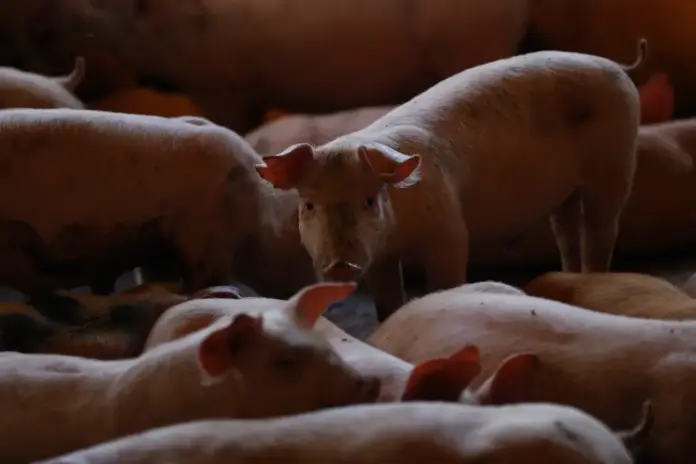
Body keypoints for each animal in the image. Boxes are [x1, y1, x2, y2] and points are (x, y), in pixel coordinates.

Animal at [255, 42, 646, 320]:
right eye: (308, 205)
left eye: (369, 200)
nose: (339, 265)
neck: (401, 232)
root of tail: (616, 65)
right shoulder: (382, 254)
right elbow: (386, 299)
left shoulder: (448, 225)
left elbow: (446, 277)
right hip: (565, 194)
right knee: (566, 232)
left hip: (618, 163)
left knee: (601, 230)